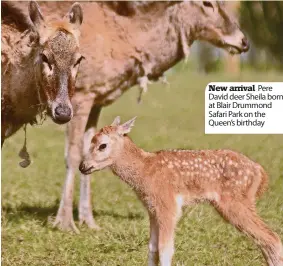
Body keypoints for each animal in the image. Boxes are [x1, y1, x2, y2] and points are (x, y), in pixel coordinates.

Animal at [80, 118, 283, 266]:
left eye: (102, 145)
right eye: (90, 141)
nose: (83, 166)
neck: (145, 171)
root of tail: (260, 172)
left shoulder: (168, 205)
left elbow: (165, 249)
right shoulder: (152, 209)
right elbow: (152, 248)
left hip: (235, 201)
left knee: (272, 238)